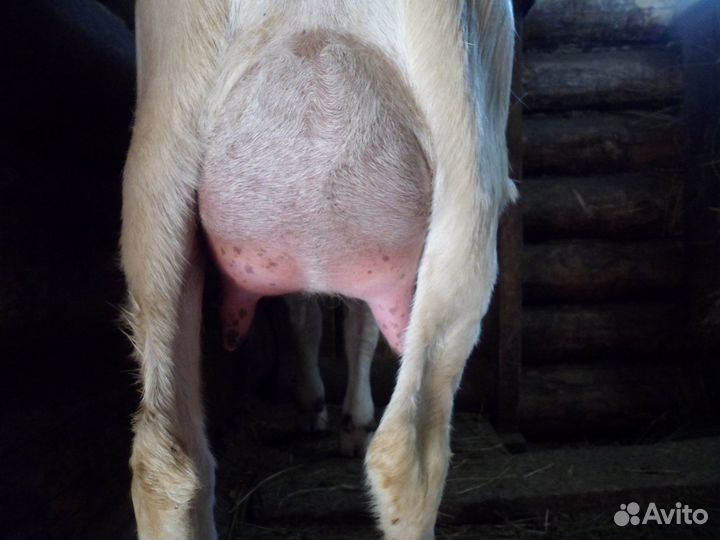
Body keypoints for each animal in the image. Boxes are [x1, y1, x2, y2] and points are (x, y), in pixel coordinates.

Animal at [120, 1, 515, 538]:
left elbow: (315, 319)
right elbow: (344, 327)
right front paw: (335, 413)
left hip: (154, 190)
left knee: (166, 459)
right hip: (469, 177)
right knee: (409, 450)